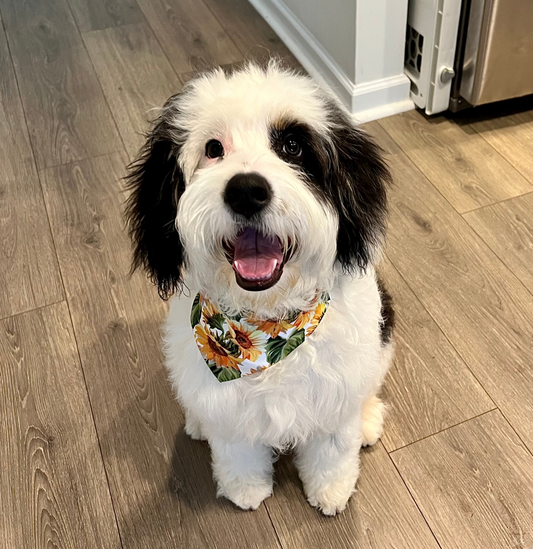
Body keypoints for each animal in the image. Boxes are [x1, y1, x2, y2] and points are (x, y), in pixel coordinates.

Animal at [123, 63, 390, 512]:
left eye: (293, 146)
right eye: (213, 148)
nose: (246, 190)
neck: (267, 327)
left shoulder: (336, 388)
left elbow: (333, 446)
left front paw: (331, 489)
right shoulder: (228, 408)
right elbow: (237, 448)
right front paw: (245, 488)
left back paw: (368, 419)